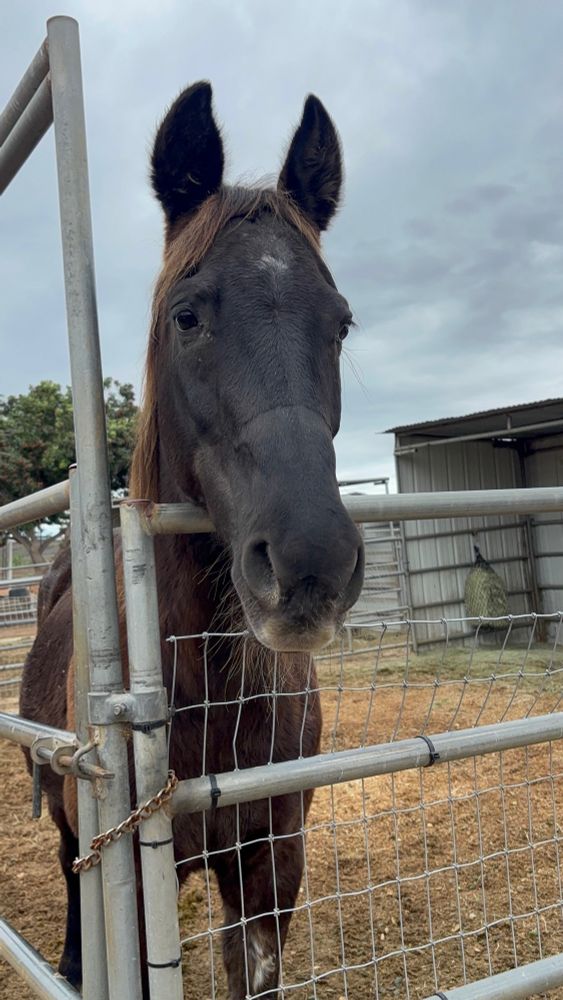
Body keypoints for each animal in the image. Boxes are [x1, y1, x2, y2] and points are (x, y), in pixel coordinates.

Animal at [20, 81, 364, 998]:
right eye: (186, 317)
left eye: (341, 323)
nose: (310, 566)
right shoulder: (139, 883)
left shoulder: (270, 867)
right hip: (70, 821)